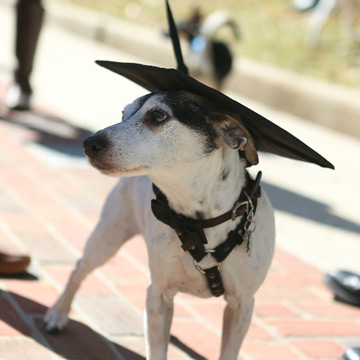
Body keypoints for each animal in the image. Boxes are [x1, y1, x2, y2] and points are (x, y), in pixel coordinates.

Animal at [43, 90, 274, 360]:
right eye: (123, 114)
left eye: (158, 116)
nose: (89, 143)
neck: (198, 222)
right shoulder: (158, 296)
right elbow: (157, 349)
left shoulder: (242, 304)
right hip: (106, 239)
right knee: (79, 270)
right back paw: (57, 314)